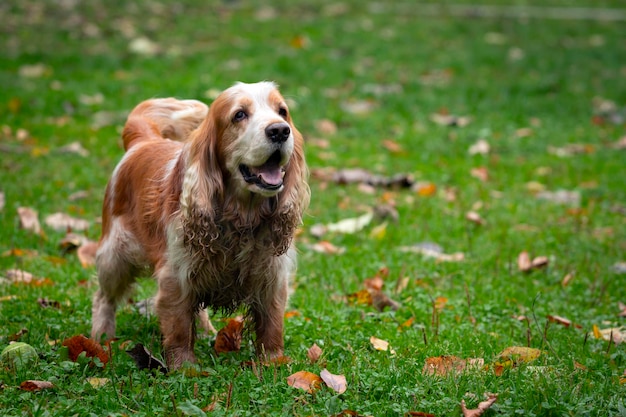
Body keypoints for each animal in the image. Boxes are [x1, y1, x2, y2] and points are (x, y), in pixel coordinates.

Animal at [91, 80, 310, 368]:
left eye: (282, 111)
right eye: (239, 115)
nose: (280, 131)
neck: (241, 215)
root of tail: (143, 142)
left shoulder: (272, 275)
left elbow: (271, 325)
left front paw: (274, 362)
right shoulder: (176, 274)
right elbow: (180, 328)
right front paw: (185, 367)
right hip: (115, 256)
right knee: (103, 298)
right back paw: (101, 336)